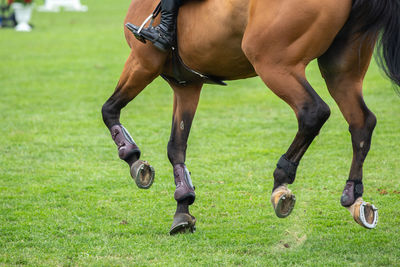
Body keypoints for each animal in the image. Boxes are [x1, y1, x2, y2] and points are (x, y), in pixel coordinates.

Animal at [102, 0, 400, 234]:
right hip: (341, 70)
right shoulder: (186, 85)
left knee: (313, 112)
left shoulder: (143, 62)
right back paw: (353, 196)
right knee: (362, 121)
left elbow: (109, 110)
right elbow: (176, 147)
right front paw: (183, 208)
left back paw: (282, 181)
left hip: (274, 64)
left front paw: (134, 159)